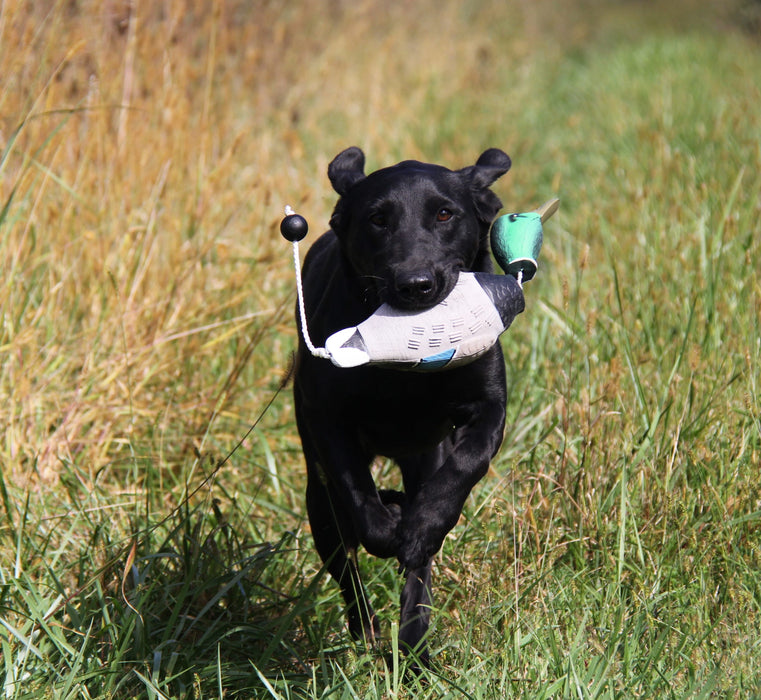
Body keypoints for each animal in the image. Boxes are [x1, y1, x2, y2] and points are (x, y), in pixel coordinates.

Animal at [290, 146, 510, 660]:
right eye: (377, 219)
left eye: (445, 214)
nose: (415, 284)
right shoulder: (328, 421)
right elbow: (356, 492)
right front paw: (388, 525)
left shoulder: (488, 409)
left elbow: (465, 466)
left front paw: (423, 525)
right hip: (318, 501)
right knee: (345, 562)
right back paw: (370, 628)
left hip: (422, 458)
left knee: (419, 576)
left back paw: (413, 644)